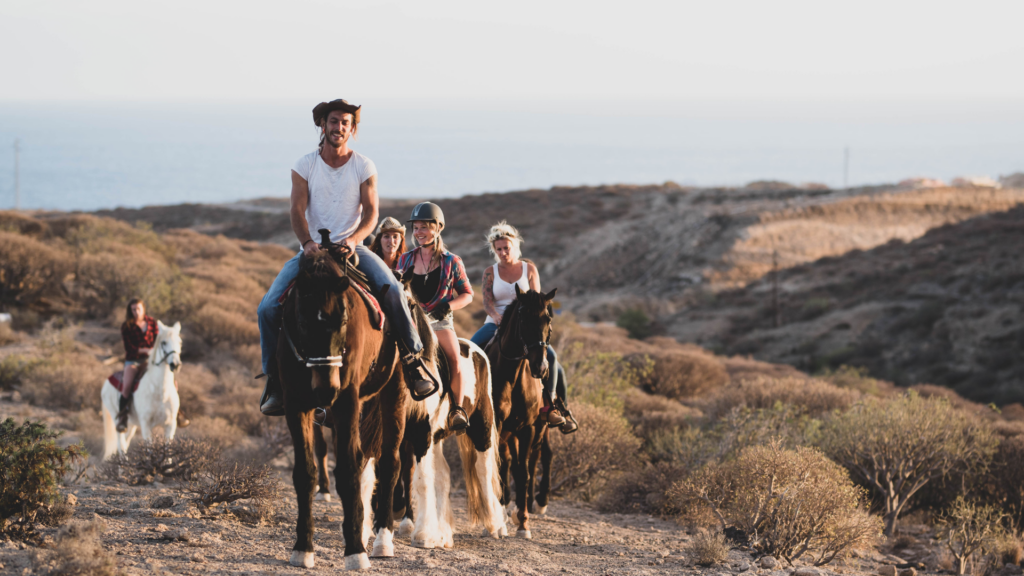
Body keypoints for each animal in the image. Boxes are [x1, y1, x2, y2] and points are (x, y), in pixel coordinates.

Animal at [100, 319, 183, 459]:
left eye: (179, 342)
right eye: (163, 342)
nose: (175, 364)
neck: (160, 392)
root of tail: (106, 382)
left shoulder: (170, 425)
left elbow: (168, 454)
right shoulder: (146, 424)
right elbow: (149, 450)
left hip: (132, 424)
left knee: (125, 444)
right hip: (117, 419)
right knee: (121, 446)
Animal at [280, 249, 411, 565]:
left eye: (343, 321)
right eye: (303, 323)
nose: (327, 388)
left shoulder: (346, 403)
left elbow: (349, 471)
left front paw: (354, 551)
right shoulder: (296, 405)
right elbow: (305, 473)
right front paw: (303, 548)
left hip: (394, 396)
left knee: (390, 463)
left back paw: (382, 540)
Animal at [489, 284, 561, 537]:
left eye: (548, 318)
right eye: (523, 317)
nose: (540, 367)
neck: (513, 375)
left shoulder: (528, 427)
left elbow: (523, 472)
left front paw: (523, 522)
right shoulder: (498, 425)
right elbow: (501, 467)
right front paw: (500, 520)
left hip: (539, 428)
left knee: (539, 457)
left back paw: (534, 502)